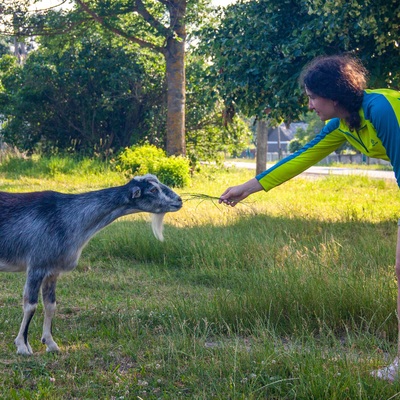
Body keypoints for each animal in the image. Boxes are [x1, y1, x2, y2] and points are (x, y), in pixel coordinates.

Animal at [0, 173, 181, 354]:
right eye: (153, 190)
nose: (179, 200)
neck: (68, 217)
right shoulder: (37, 266)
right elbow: (30, 305)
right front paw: (22, 346)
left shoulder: (53, 270)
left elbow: (50, 305)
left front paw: (51, 344)